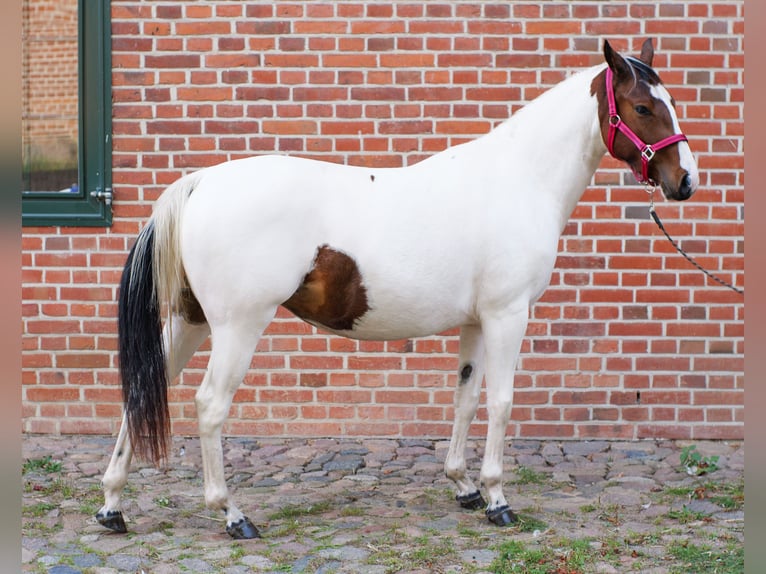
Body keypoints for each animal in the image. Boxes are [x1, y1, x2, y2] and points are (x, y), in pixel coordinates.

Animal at [97, 39, 698, 539]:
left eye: (669, 100)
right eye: (643, 108)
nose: (685, 181)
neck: (520, 179)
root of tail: (201, 183)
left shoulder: (477, 320)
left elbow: (466, 397)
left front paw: (464, 487)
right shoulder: (507, 315)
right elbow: (501, 403)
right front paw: (498, 499)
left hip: (190, 320)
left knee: (143, 389)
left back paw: (112, 507)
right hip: (237, 326)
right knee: (209, 405)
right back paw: (231, 514)